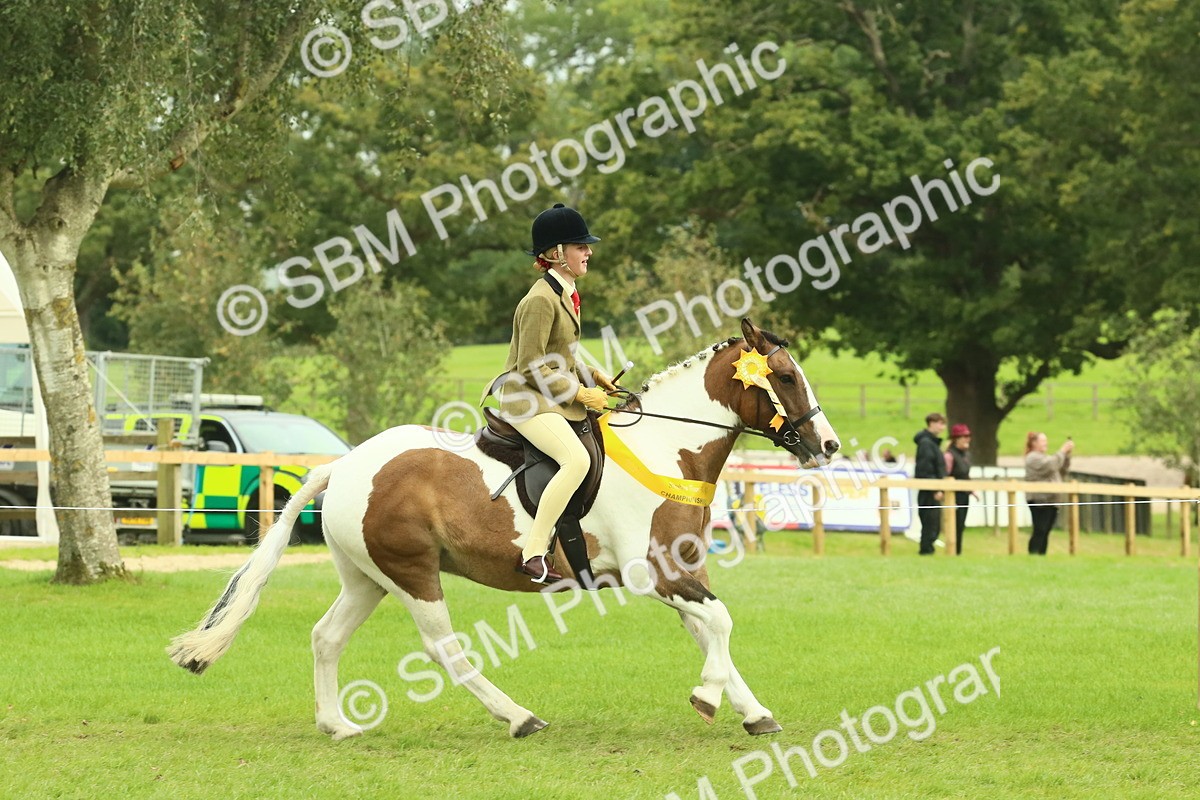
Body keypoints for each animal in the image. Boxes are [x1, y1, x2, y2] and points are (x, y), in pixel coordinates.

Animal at [168, 318, 840, 739]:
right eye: (784, 377)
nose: (827, 445)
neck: (665, 448)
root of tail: (347, 463)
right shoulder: (654, 575)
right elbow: (720, 624)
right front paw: (708, 699)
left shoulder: (681, 573)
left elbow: (711, 634)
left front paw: (752, 712)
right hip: (412, 573)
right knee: (443, 649)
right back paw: (520, 718)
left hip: (368, 577)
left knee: (326, 637)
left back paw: (336, 725)